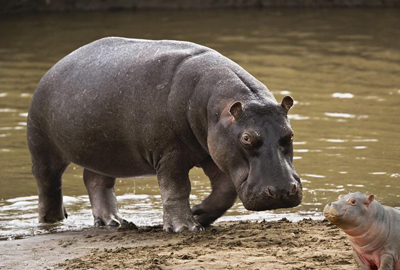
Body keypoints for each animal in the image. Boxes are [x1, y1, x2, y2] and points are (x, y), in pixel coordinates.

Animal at [27, 37, 304, 233]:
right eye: (246, 138)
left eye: (289, 134)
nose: (281, 192)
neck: (217, 107)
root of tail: (55, 66)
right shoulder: (170, 155)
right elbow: (177, 188)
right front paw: (185, 228)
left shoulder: (213, 153)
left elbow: (225, 192)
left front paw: (199, 213)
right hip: (43, 147)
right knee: (48, 186)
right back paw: (51, 222)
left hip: (104, 152)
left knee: (96, 181)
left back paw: (114, 222)